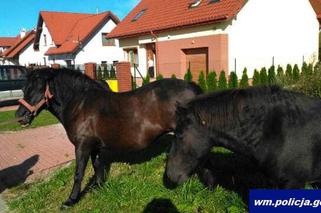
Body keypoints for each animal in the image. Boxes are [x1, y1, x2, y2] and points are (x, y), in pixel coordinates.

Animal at [16, 68, 201, 208]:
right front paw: (98, 187)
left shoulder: (82, 146)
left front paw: (71, 200)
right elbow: (97, 165)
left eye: (38, 88)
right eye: (25, 88)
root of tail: (192, 87)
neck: (80, 104)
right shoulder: (94, 146)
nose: (20, 116)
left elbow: (78, 174)